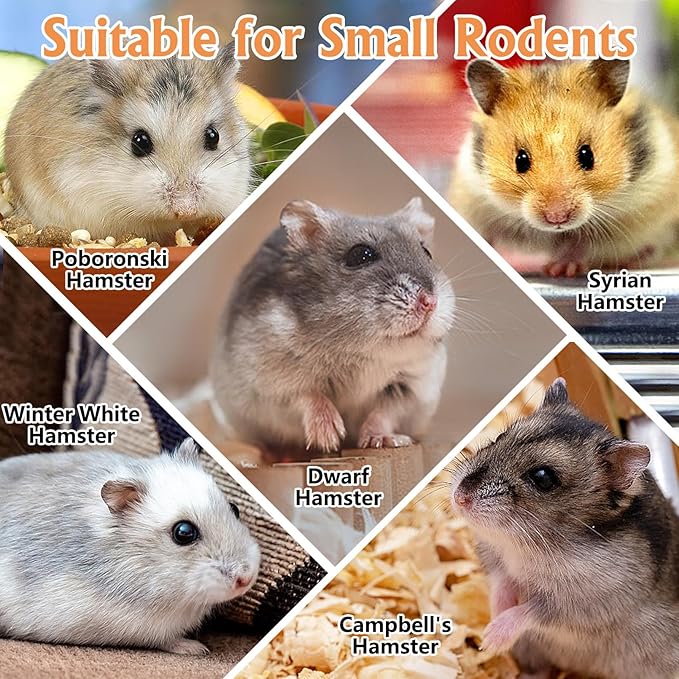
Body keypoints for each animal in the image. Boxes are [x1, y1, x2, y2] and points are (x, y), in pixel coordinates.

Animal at [210, 198, 455, 455]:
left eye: (427, 252)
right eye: (361, 255)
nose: (430, 302)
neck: (362, 351)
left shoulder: (412, 387)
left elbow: (384, 413)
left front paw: (379, 441)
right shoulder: (271, 383)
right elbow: (308, 396)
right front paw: (330, 439)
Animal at [450, 58, 679, 276]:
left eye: (587, 155)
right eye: (520, 160)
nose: (557, 218)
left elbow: (579, 245)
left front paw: (559, 269)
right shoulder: (473, 202)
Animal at [451, 379, 679, 679]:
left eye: (543, 478)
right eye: (500, 437)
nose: (459, 498)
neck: (521, 542)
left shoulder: (581, 606)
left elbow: (533, 611)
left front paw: (490, 639)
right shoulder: (494, 559)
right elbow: (501, 585)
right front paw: (492, 619)